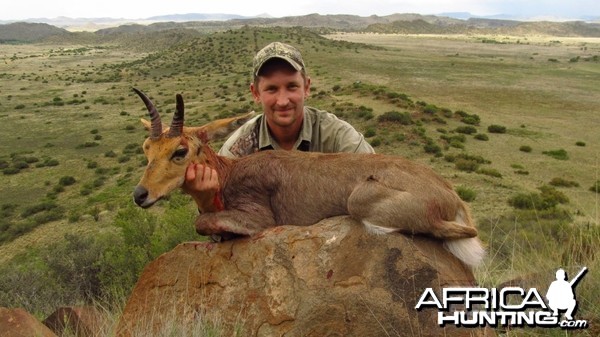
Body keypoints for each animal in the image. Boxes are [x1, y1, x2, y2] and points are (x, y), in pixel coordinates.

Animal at [134, 88, 486, 266]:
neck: (229, 173)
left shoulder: (259, 220)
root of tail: (450, 194)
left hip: (361, 202)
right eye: (147, 147)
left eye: (179, 151)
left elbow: (203, 222)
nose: (140, 195)